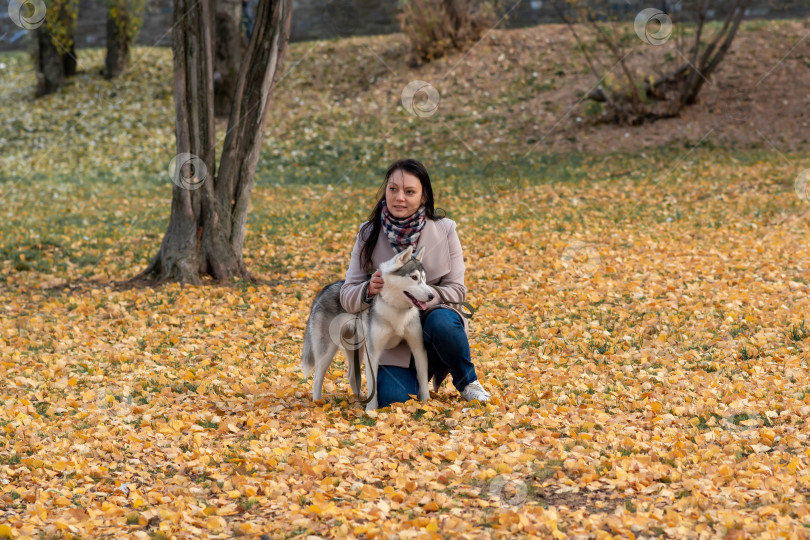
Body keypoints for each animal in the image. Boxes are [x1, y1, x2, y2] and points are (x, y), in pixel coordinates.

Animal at [300, 247, 432, 412]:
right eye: (414, 277)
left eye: (424, 279)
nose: (432, 295)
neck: (395, 308)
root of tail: (325, 289)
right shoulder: (373, 352)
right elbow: (372, 385)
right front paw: (371, 410)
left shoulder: (418, 348)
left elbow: (423, 378)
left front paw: (427, 403)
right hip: (328, 350)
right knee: (318, 377)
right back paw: (318, 402)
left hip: (357, 349)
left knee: (351, 375)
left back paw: (360, 399)